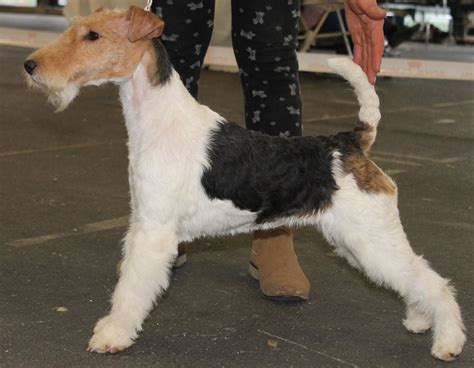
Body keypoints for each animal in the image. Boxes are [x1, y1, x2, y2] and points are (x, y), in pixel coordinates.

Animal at [24, 6, 464, 362]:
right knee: (417, 280)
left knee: (434, 282)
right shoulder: (143, 222)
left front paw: (111, 335)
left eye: (93, 36)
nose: (30, 66)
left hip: (372, 238)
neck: (158, 120)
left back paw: (448, 342)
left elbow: (131, 290)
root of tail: (351, 141)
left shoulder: (154, 232)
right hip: (357, 243)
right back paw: (420, 320)